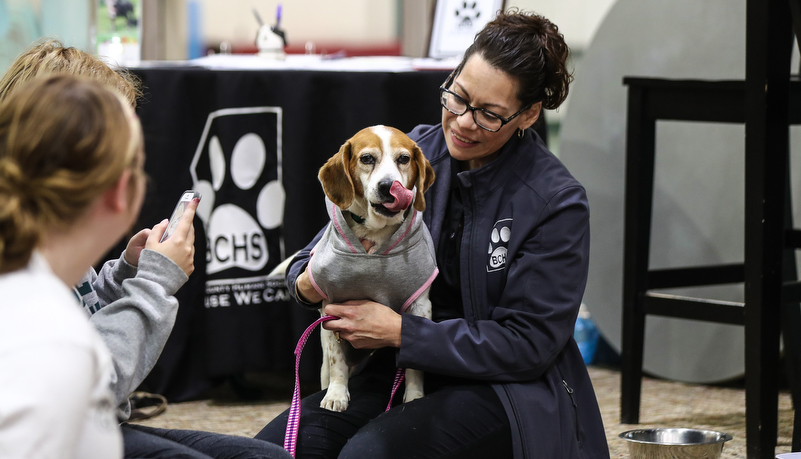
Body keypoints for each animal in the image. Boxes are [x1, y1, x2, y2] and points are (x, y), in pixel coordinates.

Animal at [310, 126, 438, 414]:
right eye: (367, 158)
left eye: (404, 159)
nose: (388, 186)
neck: (376, 231)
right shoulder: (331, 308)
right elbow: (337, 361)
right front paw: (336, 394)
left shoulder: (420, 306)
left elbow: (414, 364)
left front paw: (414, 396)